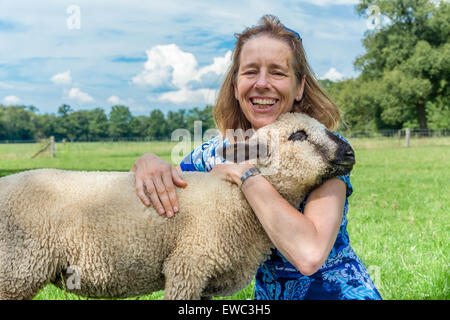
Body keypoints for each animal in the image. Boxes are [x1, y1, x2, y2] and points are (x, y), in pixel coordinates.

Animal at [0, 112, 356, 300]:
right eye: (298, 135)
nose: (349, 152)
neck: (238, 202)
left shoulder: (207, 281)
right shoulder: (188, 266)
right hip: (16, 268)